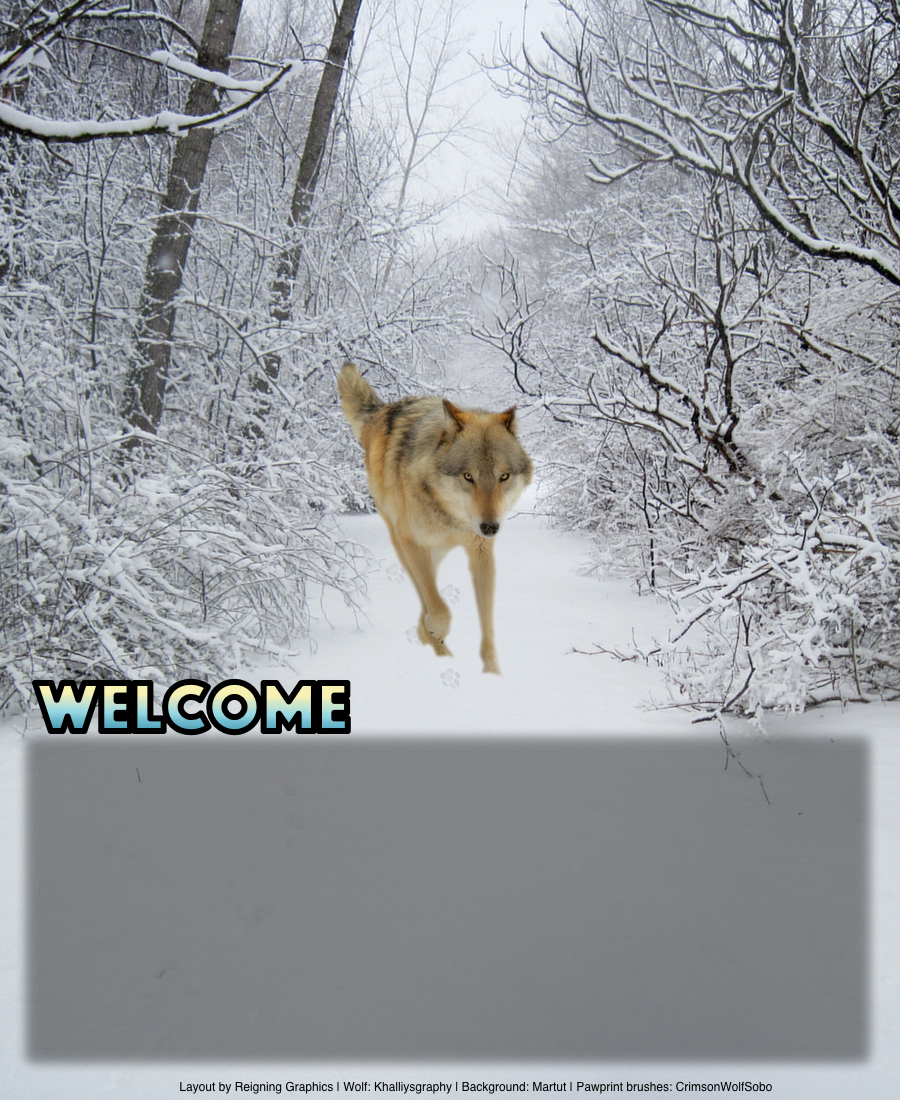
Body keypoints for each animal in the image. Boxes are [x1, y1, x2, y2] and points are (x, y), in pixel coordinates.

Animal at [338, 363, 532, 668]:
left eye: (504, 476)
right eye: (468, 476)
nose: (490, 527)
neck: (450, 516)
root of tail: (381, 411)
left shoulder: (481, 551)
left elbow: (487, 626)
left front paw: (492, 673)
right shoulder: (412, 543)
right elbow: (439, 610)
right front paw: (436, 631)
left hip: (434, 552)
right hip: (404, 543)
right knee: (425, 594)